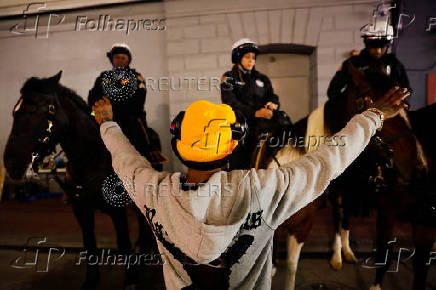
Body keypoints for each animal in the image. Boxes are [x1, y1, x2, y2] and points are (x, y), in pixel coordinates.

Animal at [3, 71, 160, 288]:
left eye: (36, 110)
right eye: (15, 112)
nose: (11, 163)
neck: (90, 159)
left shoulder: (117, 211)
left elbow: (123, 242)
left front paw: (130, 278)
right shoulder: (81, 209)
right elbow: (89, 242)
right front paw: (92, 280)